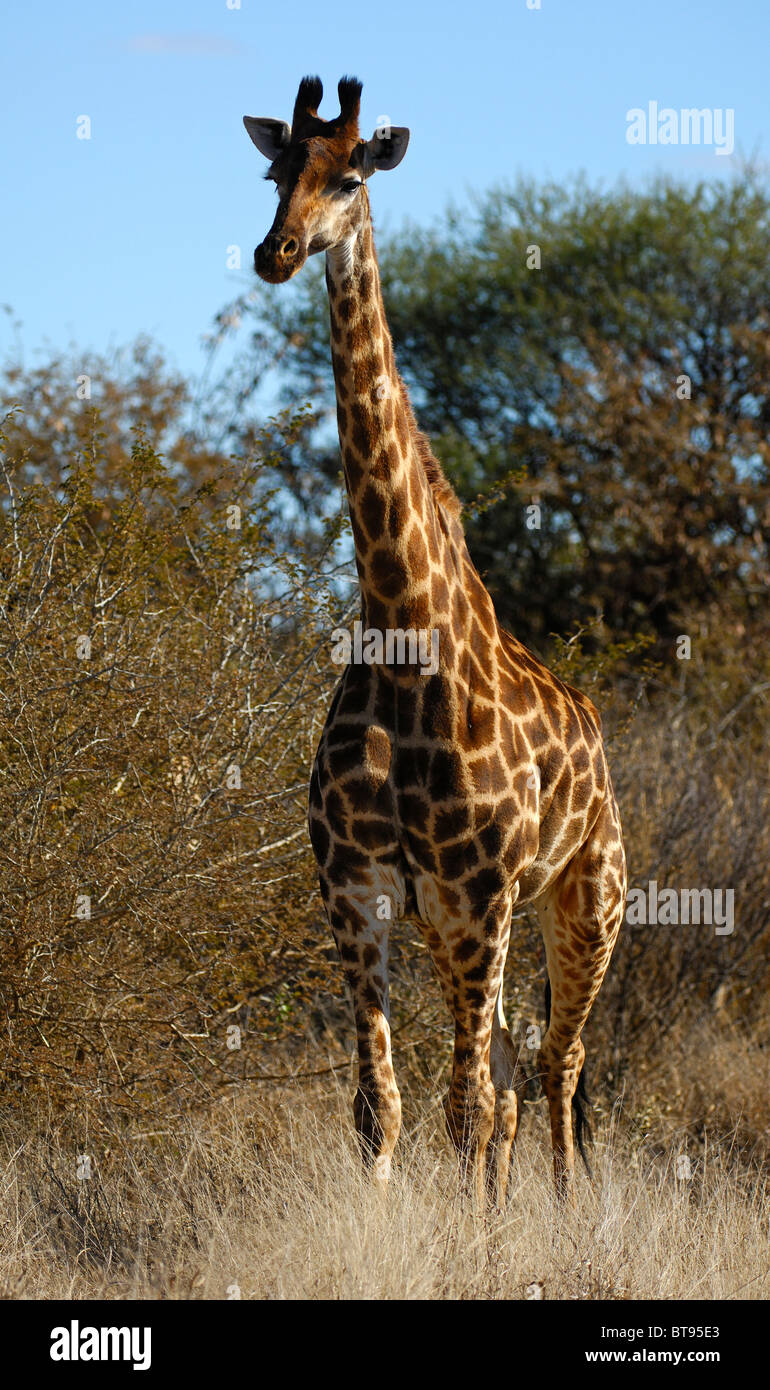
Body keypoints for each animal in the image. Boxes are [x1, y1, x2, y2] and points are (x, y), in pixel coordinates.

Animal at [243, 76, 625, 1206]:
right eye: (277, 173)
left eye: (352, 176)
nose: (275, 252)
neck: (403, 623)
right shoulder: (357, 894)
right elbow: (382, 1107)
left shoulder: (477, 895)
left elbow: (463, 1107)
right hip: (478, 928)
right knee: (511, 1078)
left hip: (584, 900)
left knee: (551, 1068)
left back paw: (562, 1212)